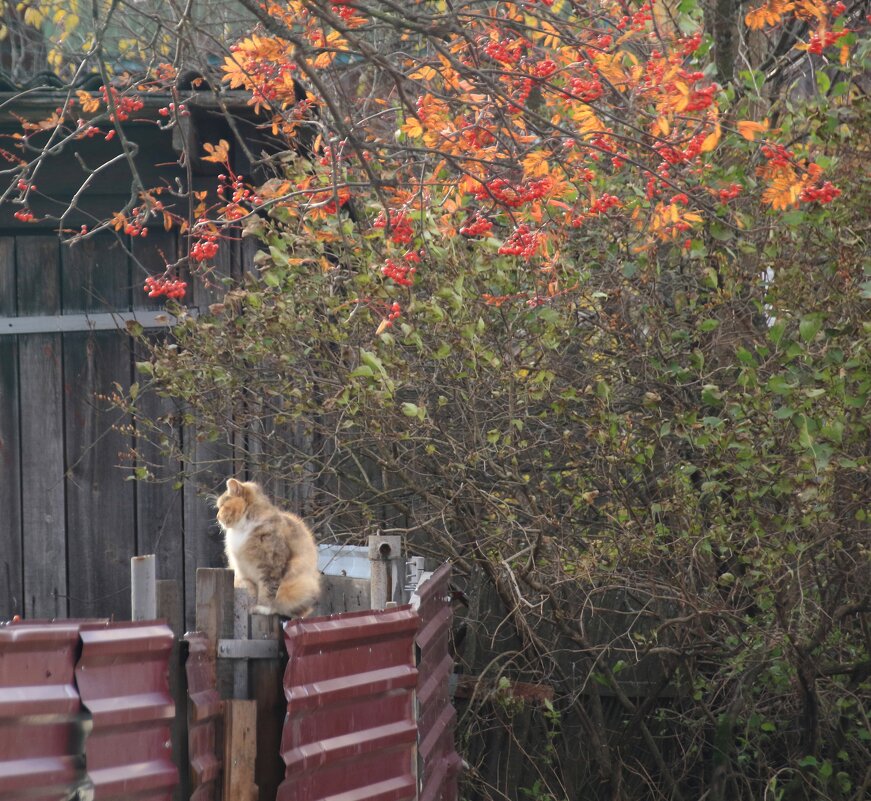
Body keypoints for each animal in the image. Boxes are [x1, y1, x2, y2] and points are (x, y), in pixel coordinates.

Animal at [216, 478, 322, 616]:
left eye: (223, 505)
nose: (217, 516)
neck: (241, 530)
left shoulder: (271, 566)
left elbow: (267, 589)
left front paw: (262, 607)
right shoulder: (241, 570)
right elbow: (250, 589)